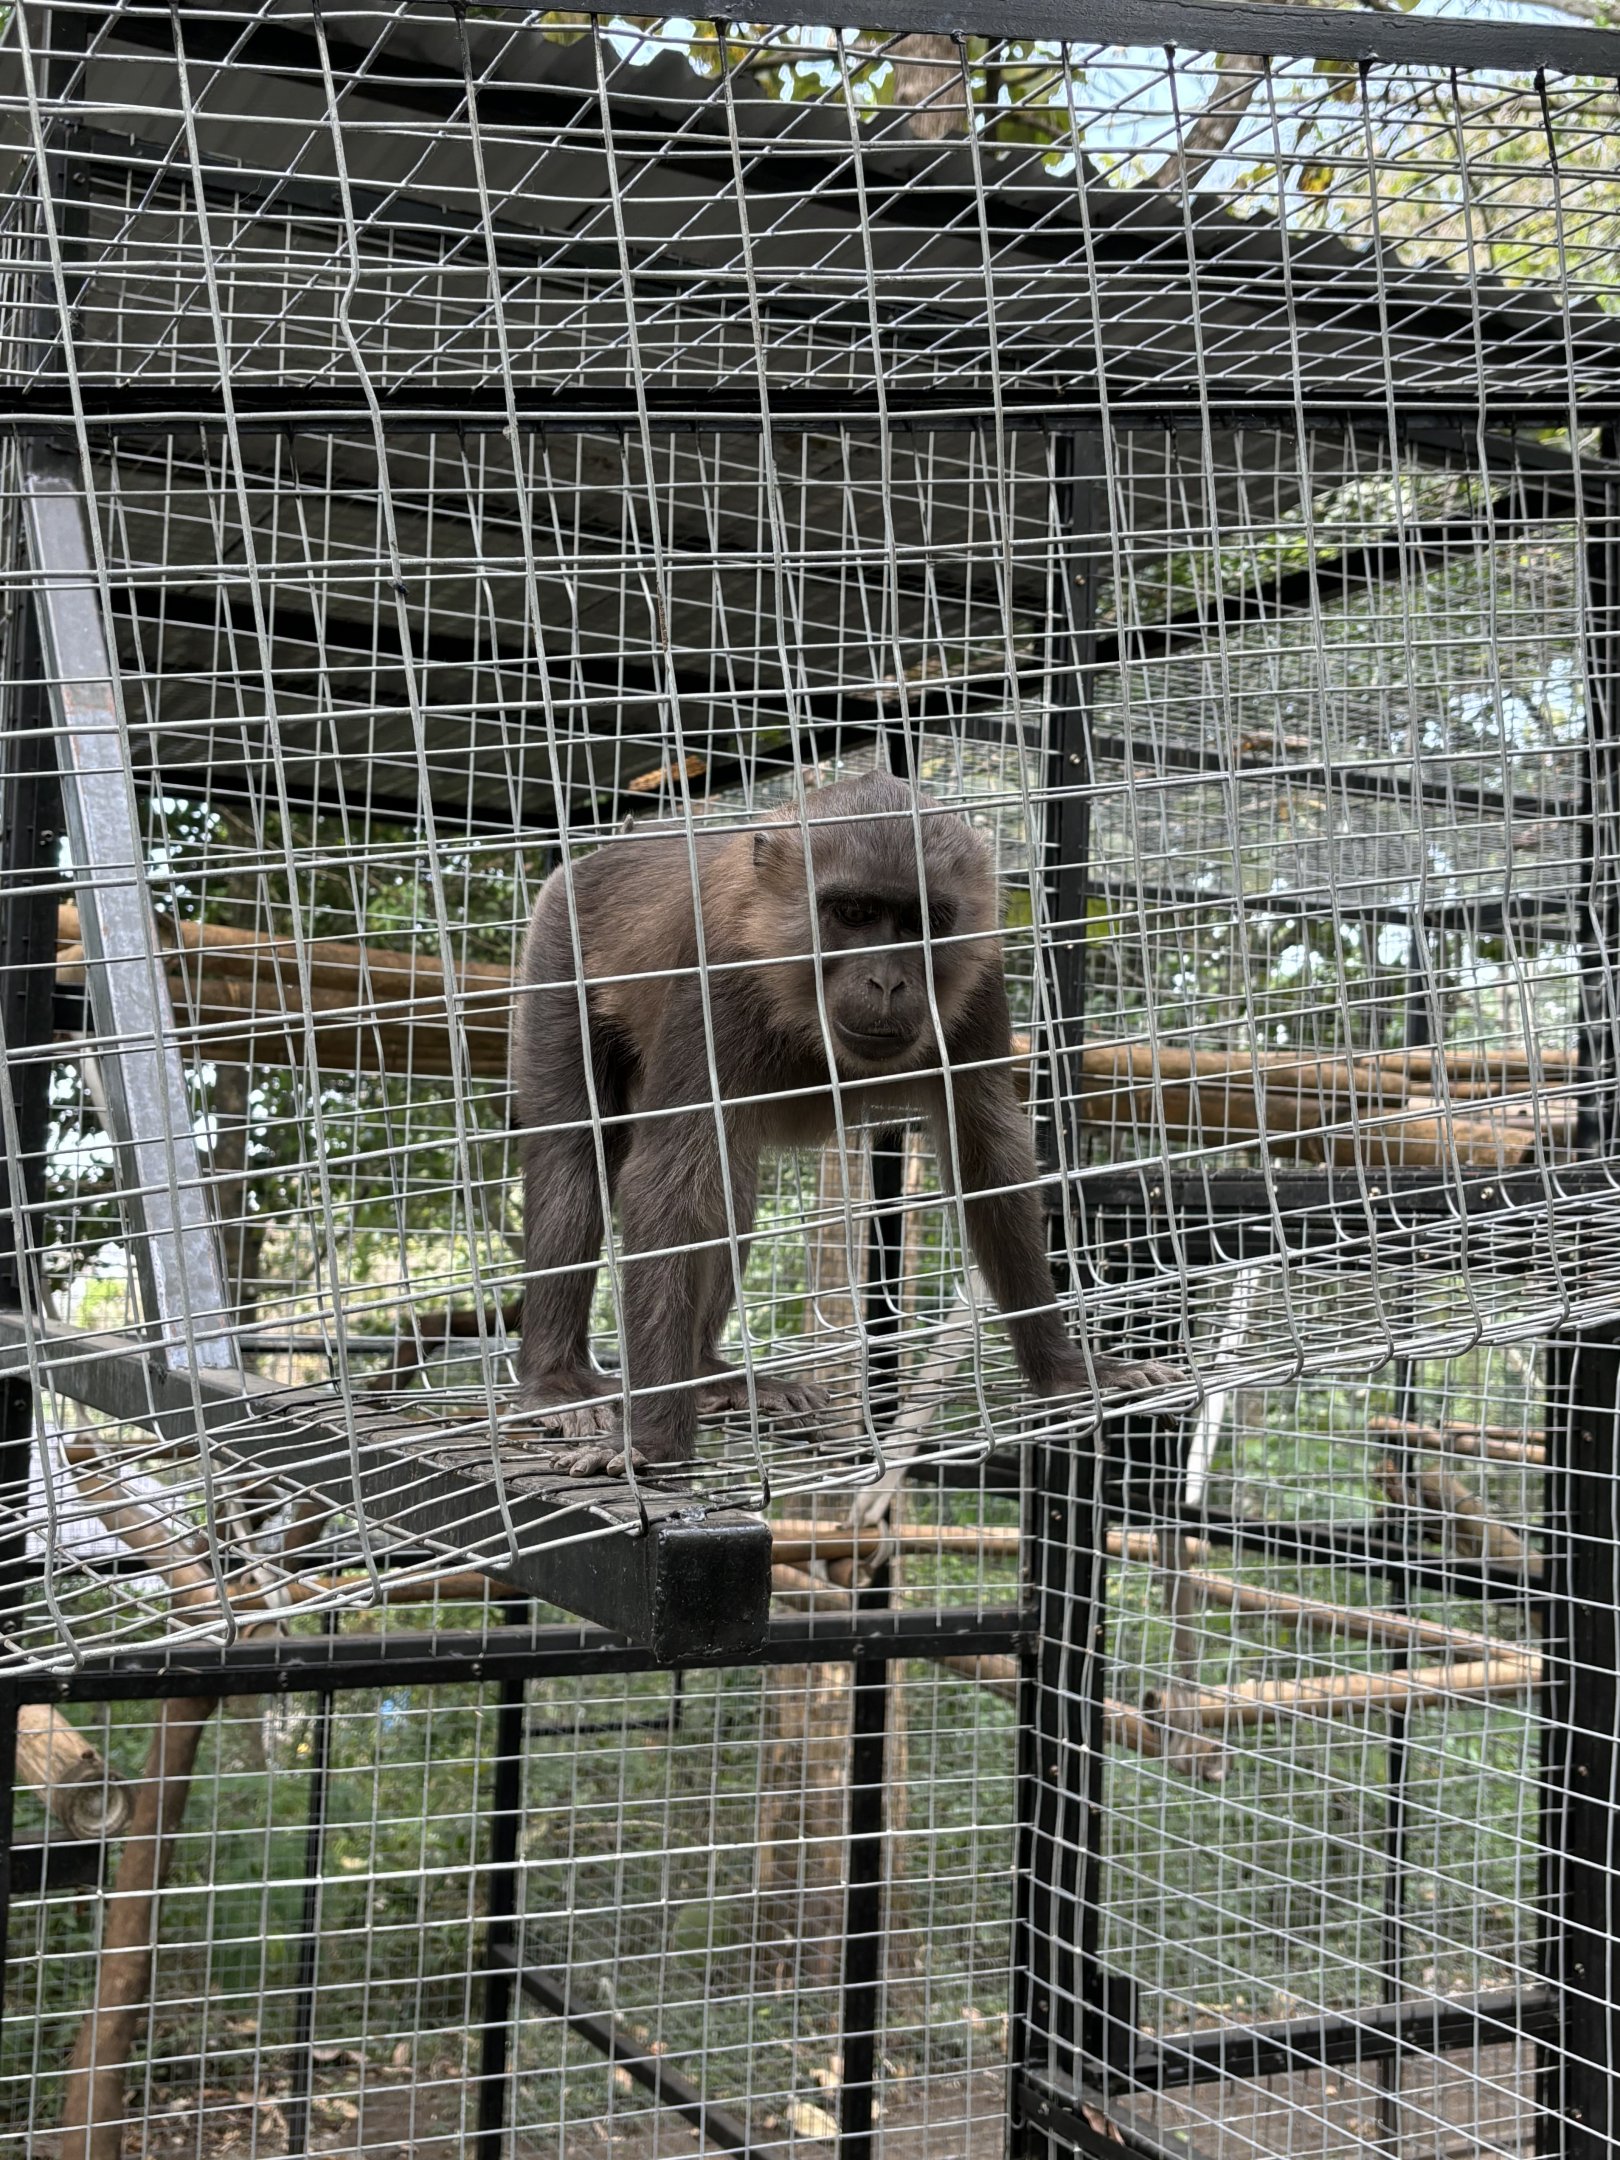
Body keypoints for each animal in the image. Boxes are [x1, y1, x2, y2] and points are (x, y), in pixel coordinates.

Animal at [512, 769, 1185, 1476]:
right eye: (855, 915)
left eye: (922, 922)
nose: (888, 983)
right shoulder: (718, 968)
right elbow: (666, 1181)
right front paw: (653, 1440)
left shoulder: (978, 975)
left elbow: (987, 1159)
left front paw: (1065, 1371)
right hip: (558, 939)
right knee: (573, 1155)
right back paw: (555, 1379)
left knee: (728, 1184)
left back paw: (707, 1372)